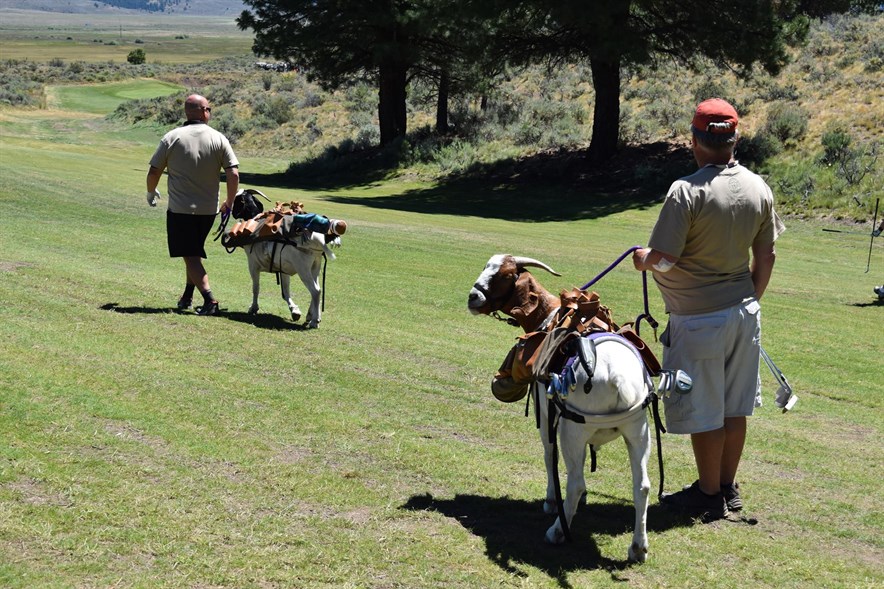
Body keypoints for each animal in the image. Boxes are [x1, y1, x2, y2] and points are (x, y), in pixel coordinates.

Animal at [468, 254, 651, 563]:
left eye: (505, 275)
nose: (473, 297)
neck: (550, 317)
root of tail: (617, 376)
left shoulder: (547, 414)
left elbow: (548, 454)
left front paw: (552, 501)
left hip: (573, 430)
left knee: (575, 482)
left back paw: (556, 531)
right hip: (638, 431)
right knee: (642, 486)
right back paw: (637, 548)